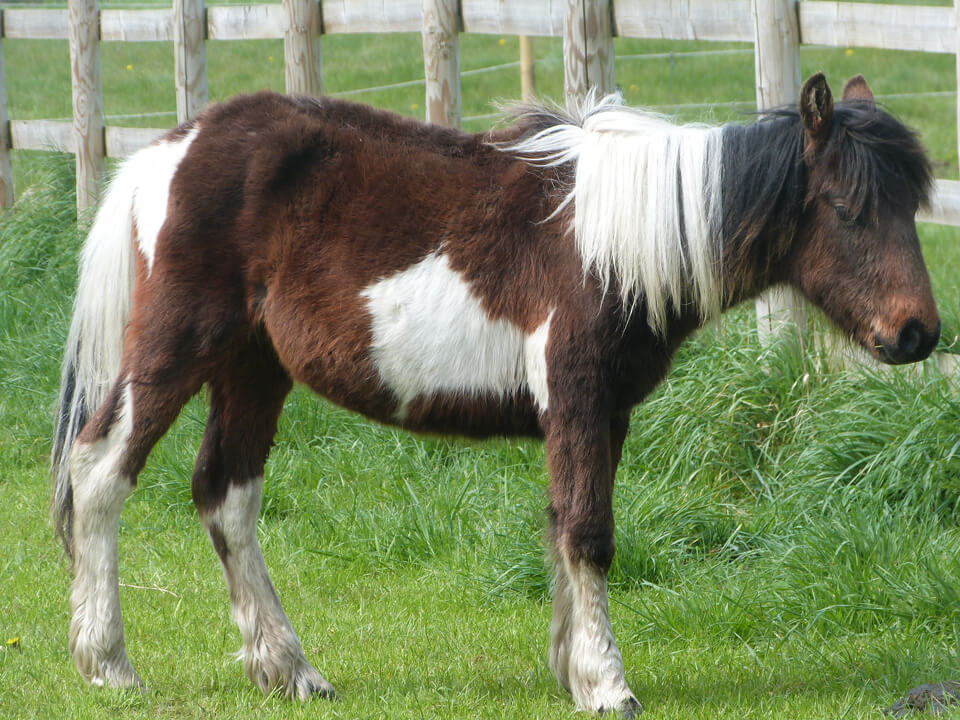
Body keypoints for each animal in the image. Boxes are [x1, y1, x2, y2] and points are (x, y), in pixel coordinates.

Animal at [51, 72, 939, 716]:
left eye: (913, 204)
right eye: (847, 208)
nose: (919, 334)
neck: (611, 242)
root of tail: (170, 152)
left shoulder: (602, 413)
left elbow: (563, 525)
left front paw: (571, 669)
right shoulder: (577, 397)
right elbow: (588, 534)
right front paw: (607, 684)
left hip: (253, 367)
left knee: (225, 496)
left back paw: (290, 669)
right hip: (178, 347)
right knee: (100, 473)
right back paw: (108, 663)